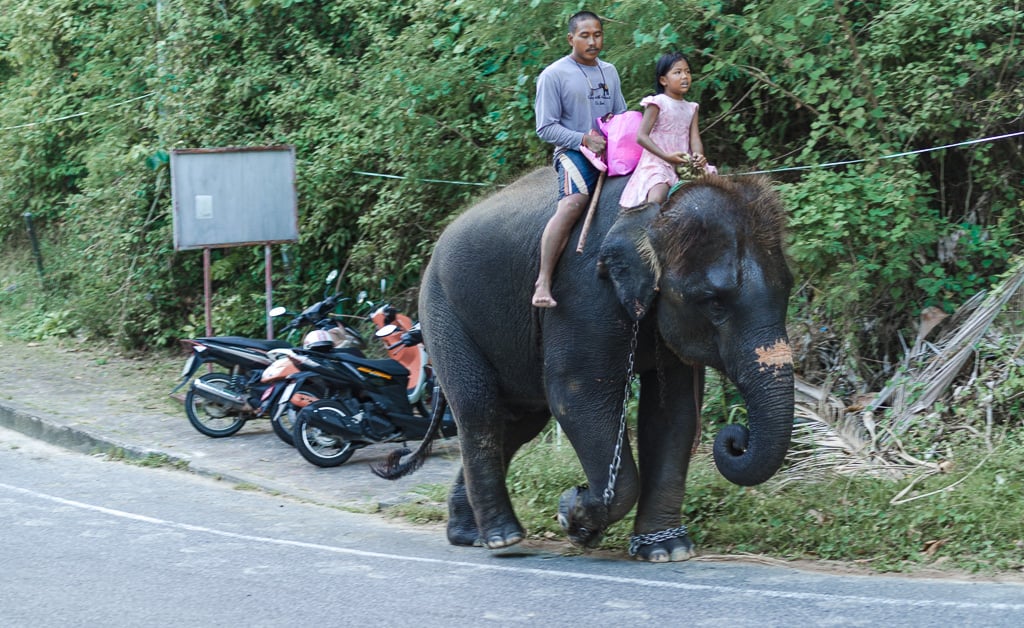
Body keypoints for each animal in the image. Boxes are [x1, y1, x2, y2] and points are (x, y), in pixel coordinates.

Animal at [380, 169, 794, 561]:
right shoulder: (583, 292)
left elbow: (671, 413)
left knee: (516, 423)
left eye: (788, 290)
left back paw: (469, 535)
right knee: (479, 409)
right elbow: (576, 395)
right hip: (444, 314)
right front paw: (572, 515)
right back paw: (503, 538)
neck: (657, 209)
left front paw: (666, 550)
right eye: (714, 302)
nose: (735, 438)